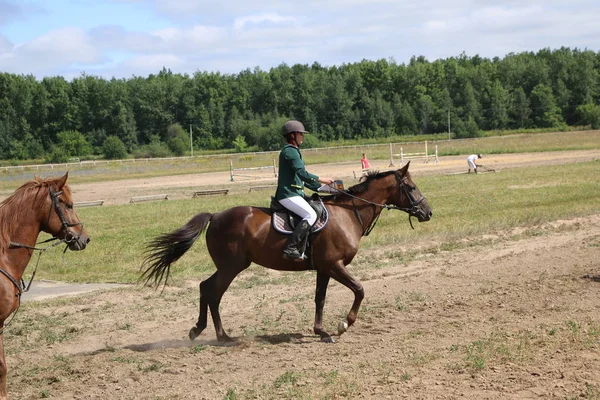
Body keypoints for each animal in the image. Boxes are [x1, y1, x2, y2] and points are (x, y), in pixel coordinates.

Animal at [141, 162, 432, 344]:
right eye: (411, 187)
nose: (428, 212)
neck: (349, 214)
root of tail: (215, 216)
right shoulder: (334, 265)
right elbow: (359, 290)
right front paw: (343, 325)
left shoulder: (324, 268)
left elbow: (320, 299)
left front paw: (321, 331)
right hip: (232, 267)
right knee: (212, 292)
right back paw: (221, 336)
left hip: (230, 266)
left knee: (206, 289)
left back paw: (201, 330)